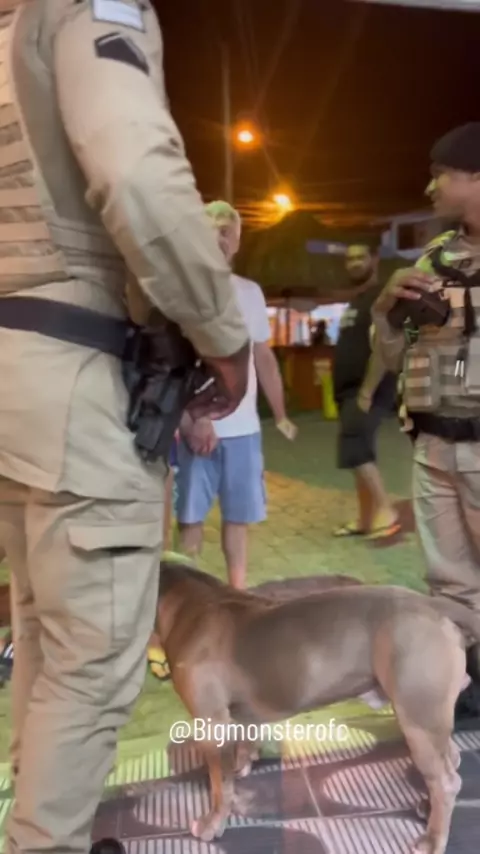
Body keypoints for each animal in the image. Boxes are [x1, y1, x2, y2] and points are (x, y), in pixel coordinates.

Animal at [156, 559, 479, 854]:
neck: (187, 603)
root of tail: (433, 605)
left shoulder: (211, 723)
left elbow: (219, 786)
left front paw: (212, 824)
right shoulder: (241, 716)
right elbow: (243, 747)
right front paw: (243, 763)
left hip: (417, 718)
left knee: (446, 782)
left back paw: (432, 840)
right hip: (429, 719)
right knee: (449, 761)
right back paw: (427, 808)